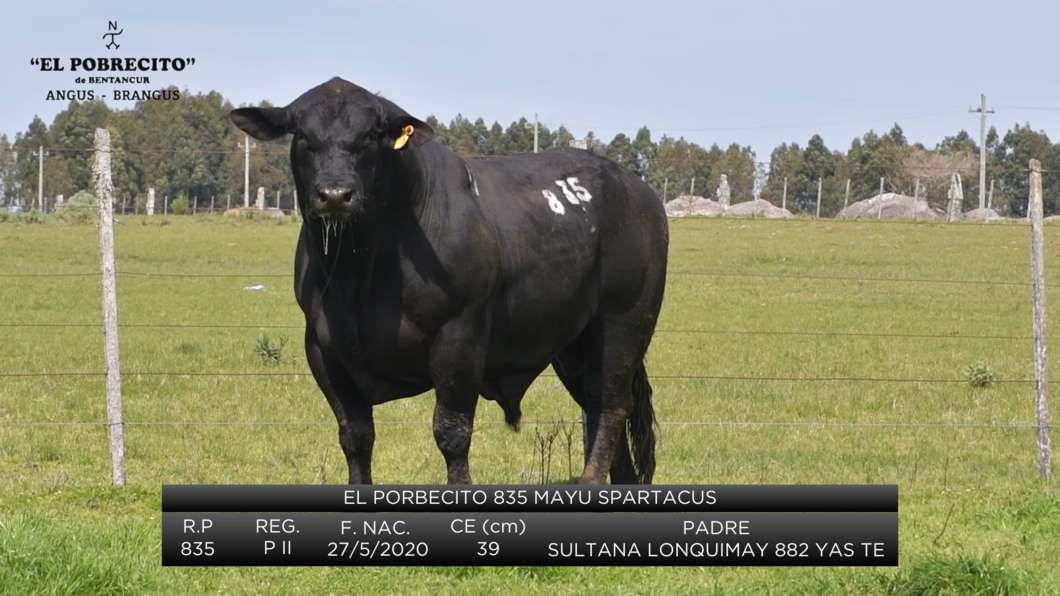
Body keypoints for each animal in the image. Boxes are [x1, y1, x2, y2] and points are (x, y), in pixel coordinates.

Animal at [231, 77, 665, 483]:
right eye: (303, 135)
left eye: (371, 135)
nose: (336, 194)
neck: (358, 276)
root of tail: (636, 187)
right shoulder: (323, 349)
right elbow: (355, 435)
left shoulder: (460, 337)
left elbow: (452, 433)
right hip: (574, 343)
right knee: (599, 410)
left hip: (623, 322)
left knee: (609, 406)